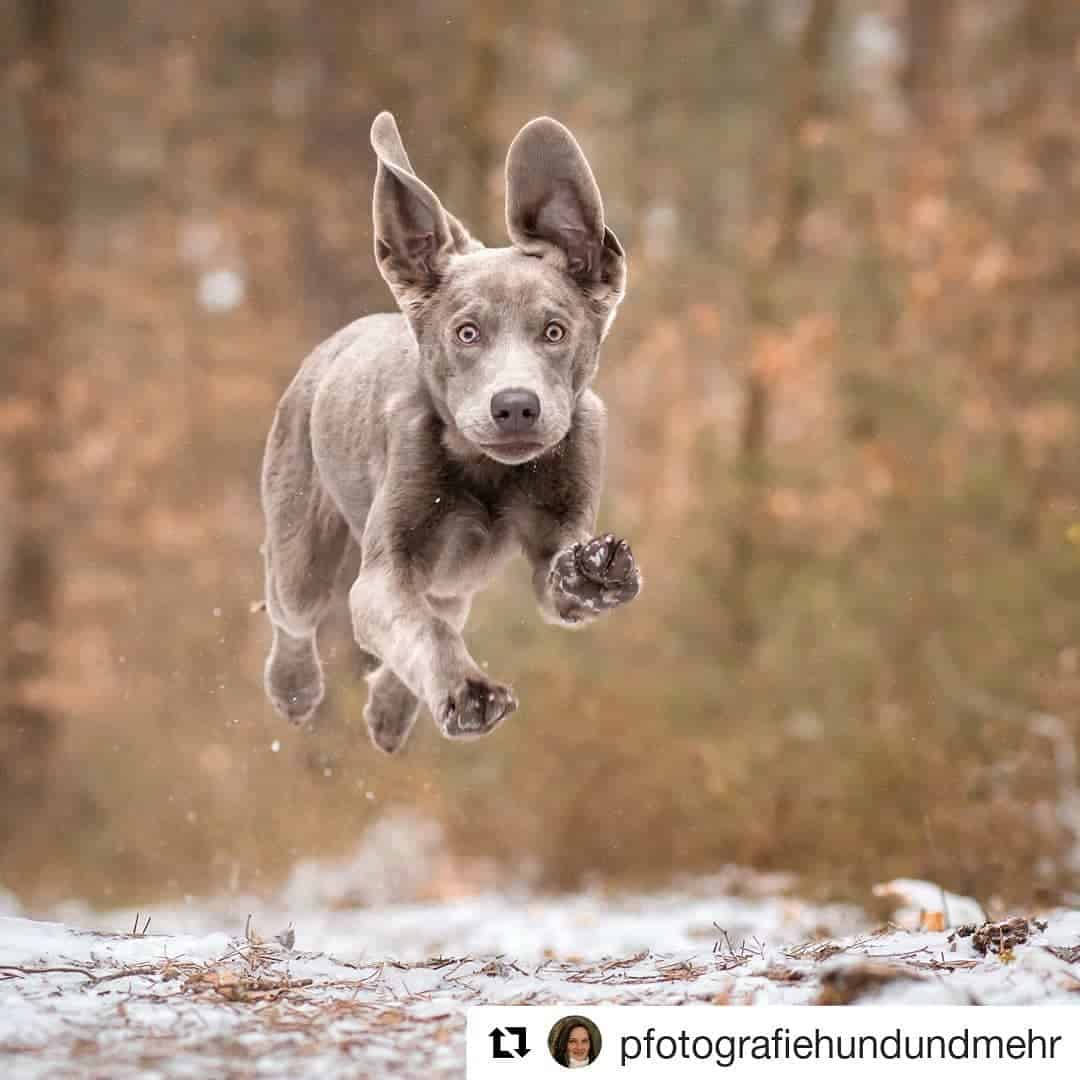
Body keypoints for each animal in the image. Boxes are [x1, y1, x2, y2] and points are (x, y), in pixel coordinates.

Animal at [257, 111, 635, 751]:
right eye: (466, 333)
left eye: (555, 331)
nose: (515, 406)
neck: (490, 471)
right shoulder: (385, 570)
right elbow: (419, 628)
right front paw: (468, 692)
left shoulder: (560, 515)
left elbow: (553, 581)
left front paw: (589, 571)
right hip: (300, 529)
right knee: (295, 610)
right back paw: (296, 689)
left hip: (454, 579)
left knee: (436, 613)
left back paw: (389, 713)